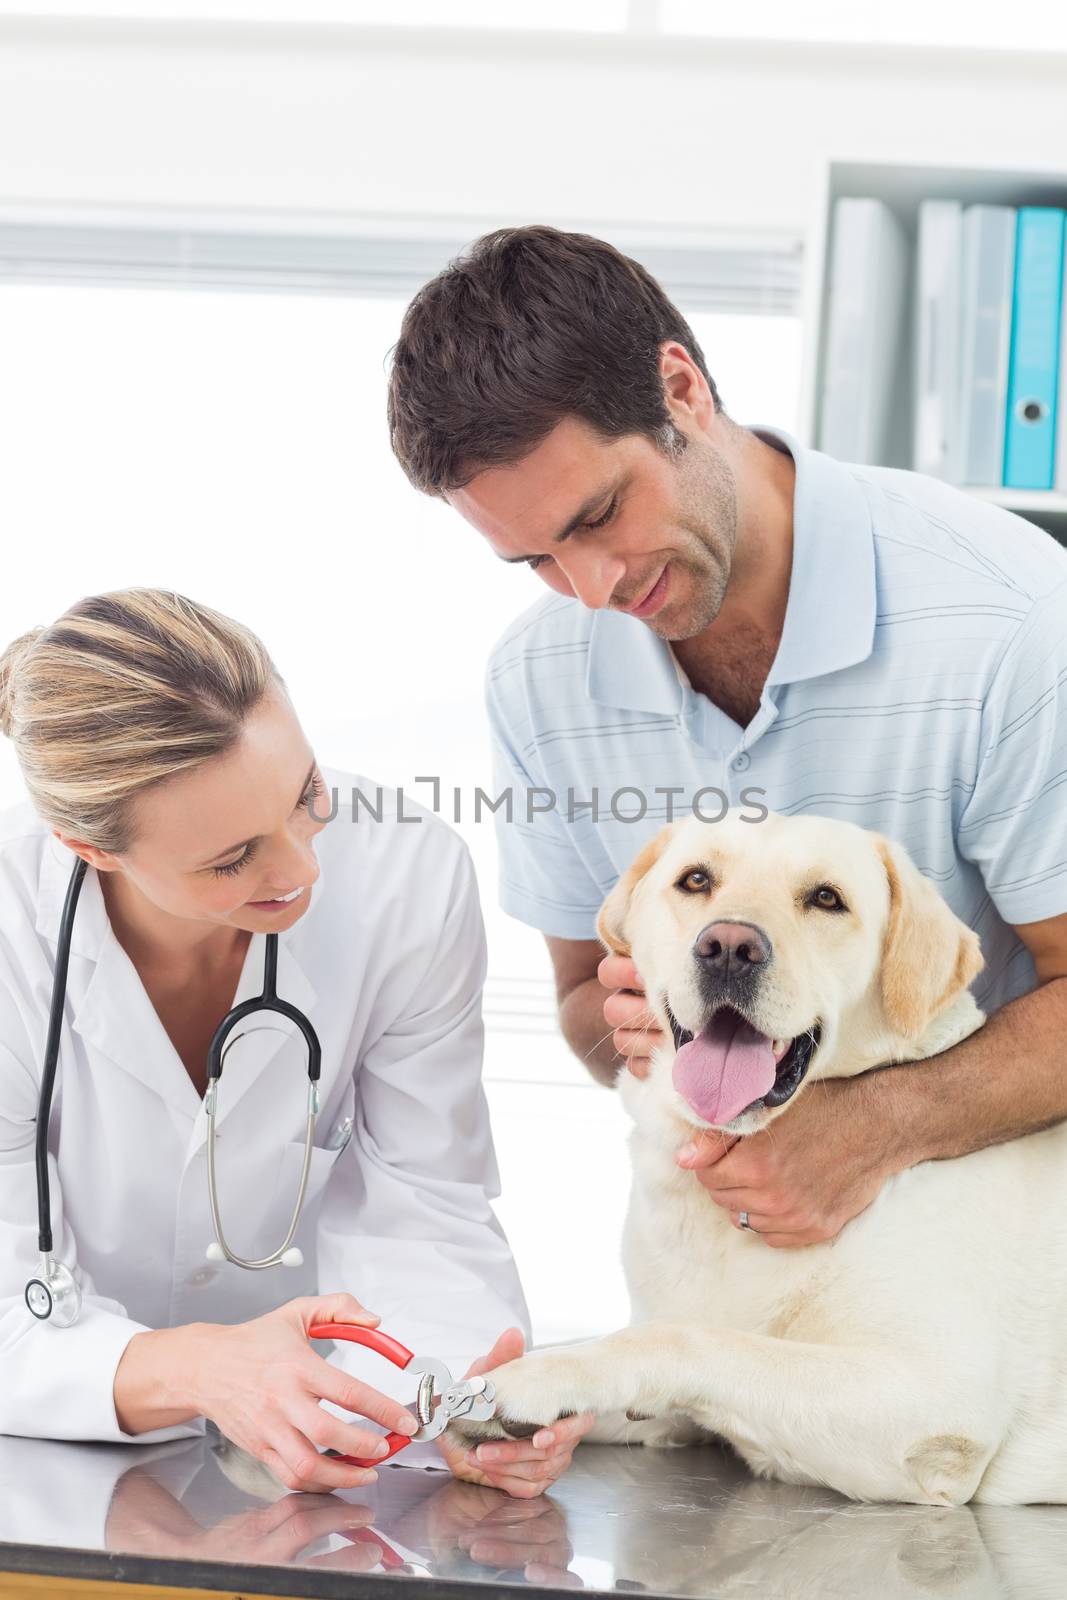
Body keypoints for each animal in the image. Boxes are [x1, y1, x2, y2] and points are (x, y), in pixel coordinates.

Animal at [454, 812, 1067, 1497]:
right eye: (696, 881)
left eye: (826, 898)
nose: (728, 946)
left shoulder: (937, 1401)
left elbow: (687, 1340)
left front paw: (526, 1382)